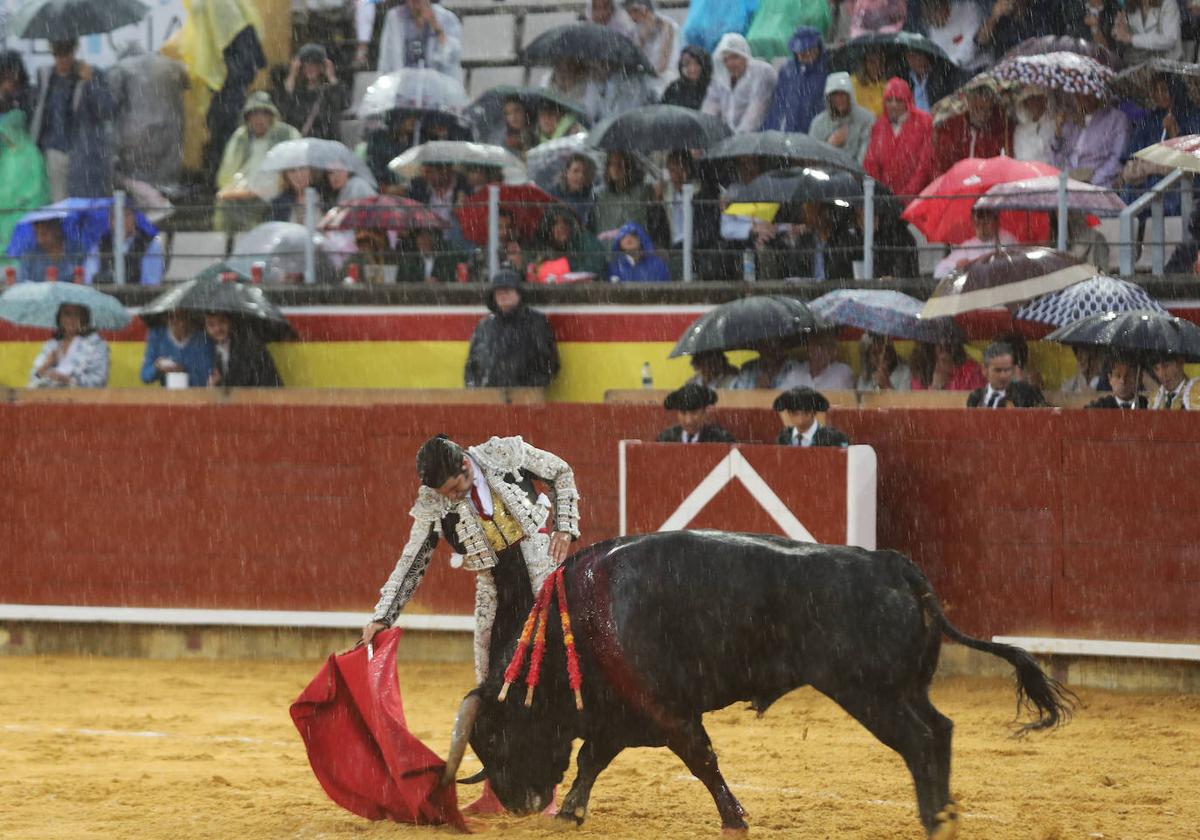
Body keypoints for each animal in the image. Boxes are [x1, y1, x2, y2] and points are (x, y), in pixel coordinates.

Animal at [441, 530, 1080, 835]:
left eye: (493, 738)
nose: (517, 805)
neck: (579, 619)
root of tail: (893, 564)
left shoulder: (665, 711)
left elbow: (700, 760)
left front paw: (736, 819)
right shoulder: (624, 713)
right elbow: (593, 758)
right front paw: (570, 812)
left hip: (869, 693)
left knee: (921, 741)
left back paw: (931, 820)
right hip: (902, 690)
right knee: (941, 731)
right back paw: (942, 815)